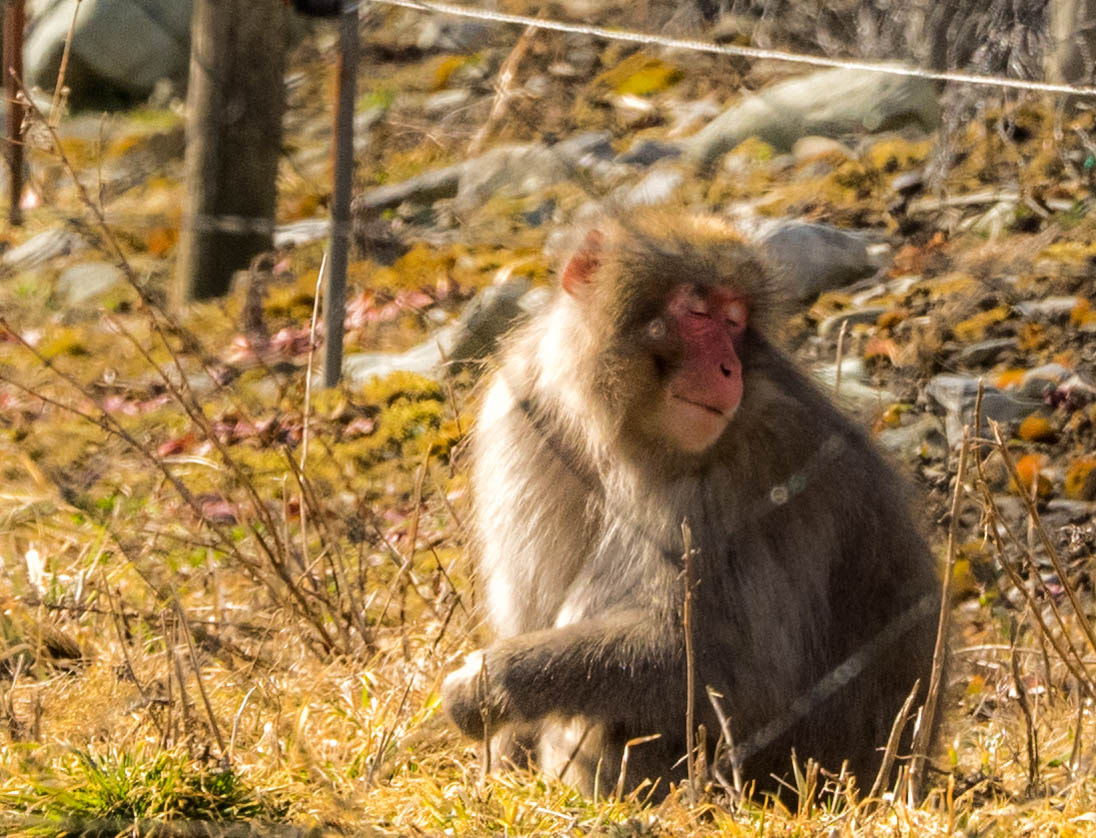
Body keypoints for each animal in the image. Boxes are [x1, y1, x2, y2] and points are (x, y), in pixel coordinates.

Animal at [440, 209, 938, 797]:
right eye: (698, 314)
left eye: (735, 322)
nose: (729, 369)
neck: (620, 431)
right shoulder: (524, 408)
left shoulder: (763, 459)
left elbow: (740, 671)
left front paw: (489, 682)